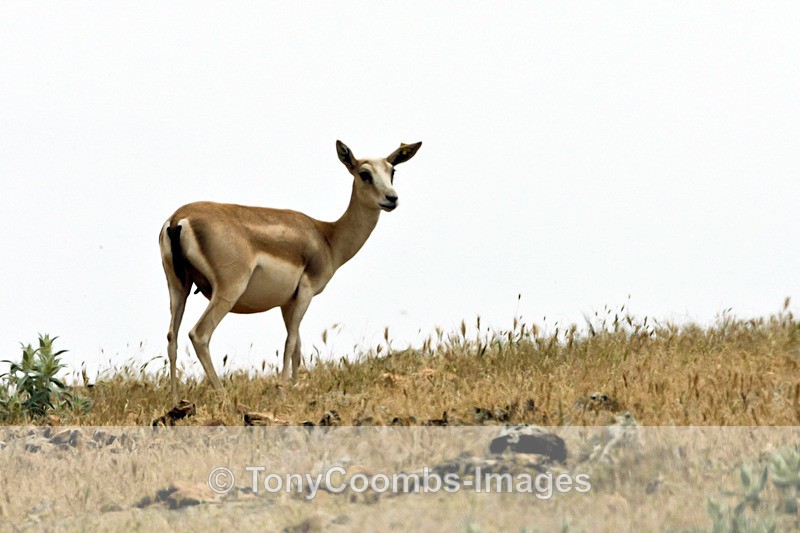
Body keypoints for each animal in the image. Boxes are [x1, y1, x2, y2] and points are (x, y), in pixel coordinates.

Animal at [159, 140, 422, 400]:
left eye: (392, 171)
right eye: (364, 173)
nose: (391, 198)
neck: (327, 236)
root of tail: (179, 219)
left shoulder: (287, 303)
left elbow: (297, 346)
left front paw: (293, 387)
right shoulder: (305, 292)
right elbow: (290, 342)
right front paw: (283, 389)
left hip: (178, 288)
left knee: (172, 336)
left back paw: (174, 399)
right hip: (228, 291)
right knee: (199, 334)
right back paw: (223, 395)